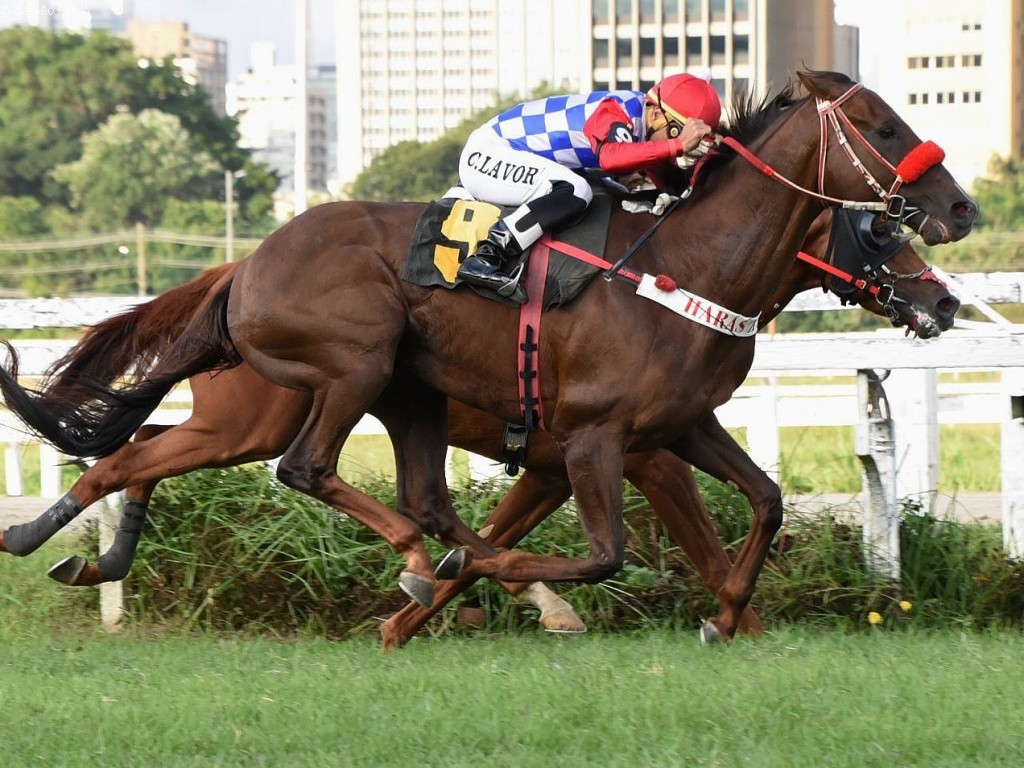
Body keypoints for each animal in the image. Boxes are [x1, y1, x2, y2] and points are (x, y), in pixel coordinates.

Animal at [0, 75, 974, 647]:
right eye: (885, 130)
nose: (959, 215)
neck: (686, 267)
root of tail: (247, 262)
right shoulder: (604, 442)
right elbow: (608, 553)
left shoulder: (670, 428)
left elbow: (765, 502)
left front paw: (727, 617)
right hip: (340, 374)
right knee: (307, 470)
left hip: (331, 405)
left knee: (143, 453)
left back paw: (65, 547)